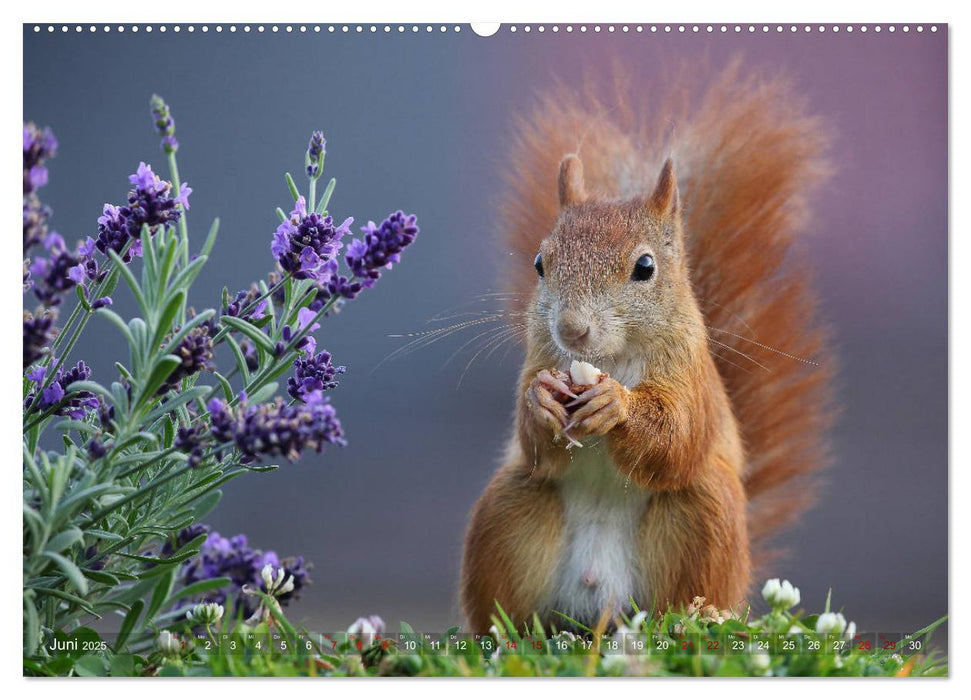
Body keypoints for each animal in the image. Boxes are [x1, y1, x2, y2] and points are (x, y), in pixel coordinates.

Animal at [464, 67, 836, 636]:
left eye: (645, 267)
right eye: (539, 263)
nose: (571, 329)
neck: (611, 360)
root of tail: (601, 604)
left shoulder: (689, 373)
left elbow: (676, 435)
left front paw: (616, 405)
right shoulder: (539, 358)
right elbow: (534, 442)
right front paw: (541, 401)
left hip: (703, 516)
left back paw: (694, 618)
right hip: (510, 509)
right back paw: (506, 635)